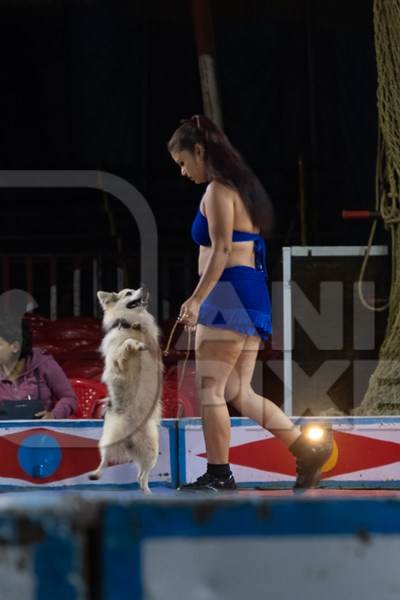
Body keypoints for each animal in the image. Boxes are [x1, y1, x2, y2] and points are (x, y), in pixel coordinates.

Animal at [90, 288, 164, 492]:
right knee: (104, 459)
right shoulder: (117, 358)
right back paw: (96, 473)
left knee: (142, 476)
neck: (131, 323)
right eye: (128, 293)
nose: (143, 288)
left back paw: (148, 493)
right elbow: (127, 343)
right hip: (110, 438)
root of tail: (130, 437)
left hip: (150, 452)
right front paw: (135, 344)